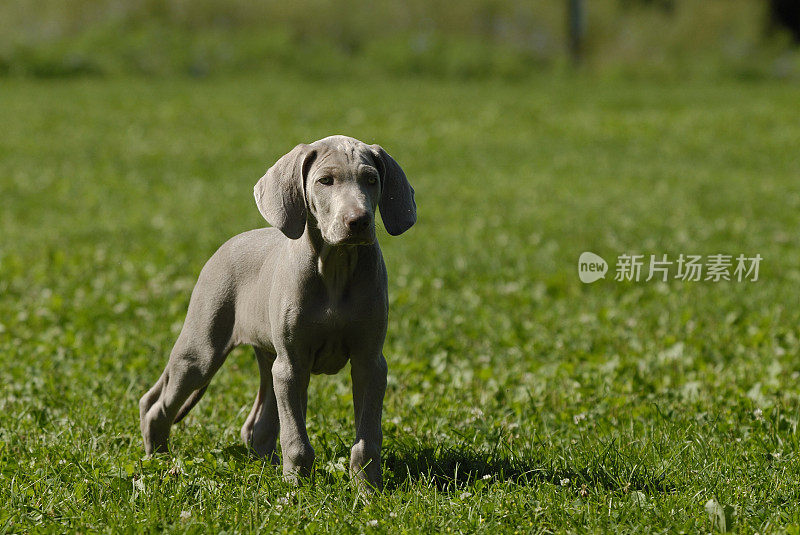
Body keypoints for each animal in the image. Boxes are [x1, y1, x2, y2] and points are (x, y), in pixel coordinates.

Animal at [138, 136, 416, 492]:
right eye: (325, 181)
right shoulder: (293, 365)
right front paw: (297, 489)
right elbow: (295, 440)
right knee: (157, 406)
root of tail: (226, 245)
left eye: (371, 180)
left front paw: (367, 490)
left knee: (256, 425)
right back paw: (157, 461)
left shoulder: (369, 363)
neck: (336, 268)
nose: (359, 221)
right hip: (202, 351)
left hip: (269, 358)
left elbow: (367, 437)